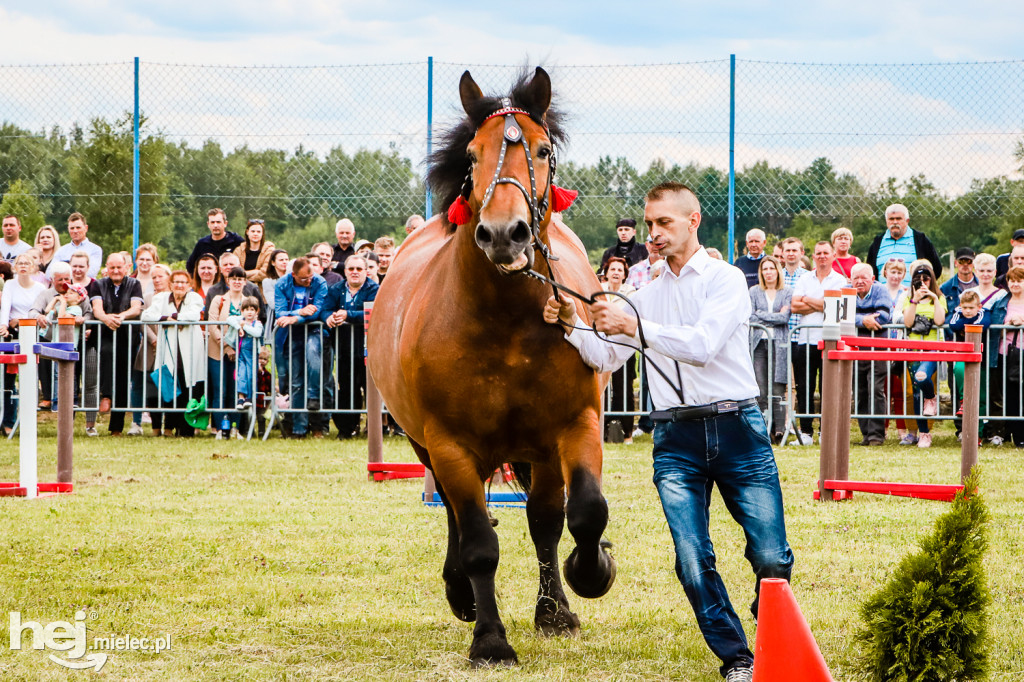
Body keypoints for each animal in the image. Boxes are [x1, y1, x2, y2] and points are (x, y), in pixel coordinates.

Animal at [372, 69, 618, 663]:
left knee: (545, 518)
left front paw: (585, 577)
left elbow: (580, 513)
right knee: (457, 517)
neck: (505, 323)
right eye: (472, 154)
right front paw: (489, 638)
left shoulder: (572, 427)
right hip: (431, 449)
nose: (505, 234)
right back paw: (461, 591)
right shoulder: (450, 444)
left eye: (543, 149)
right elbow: (480, 541)